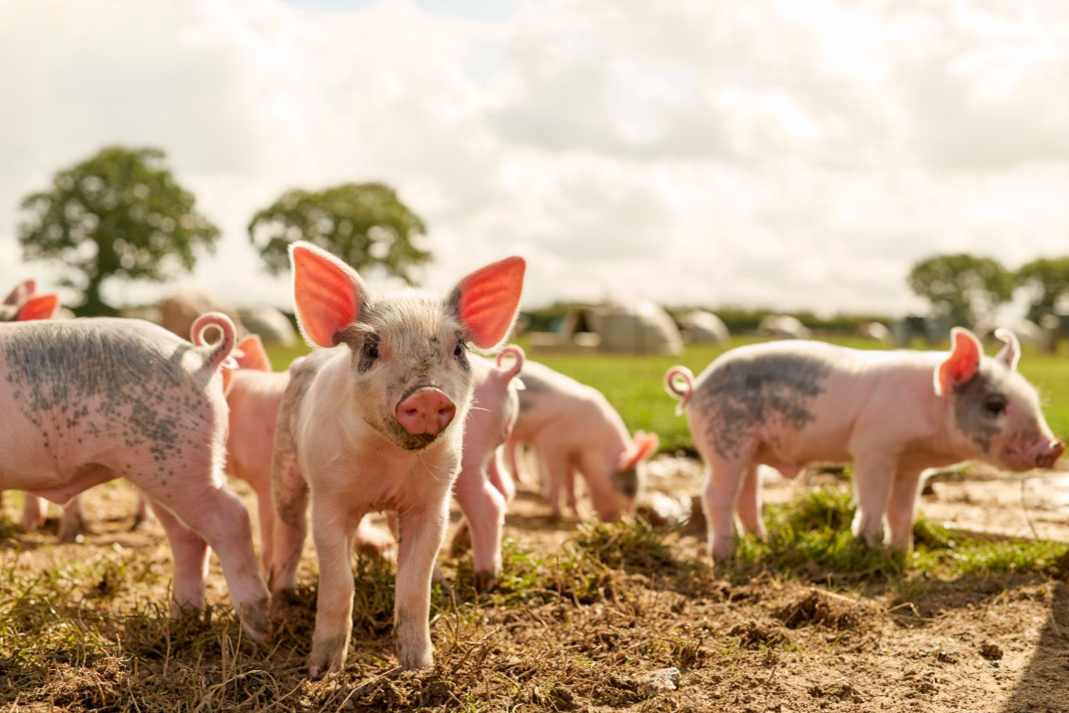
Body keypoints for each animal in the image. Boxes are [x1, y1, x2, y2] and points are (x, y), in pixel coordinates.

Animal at [0, 311, 271, 641]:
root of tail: (199, 356)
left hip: (179, 461)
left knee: (232, 518)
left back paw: (257, 630)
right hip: (163, 472)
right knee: (188, 537)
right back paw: (181, 622)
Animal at [269, 242, 525, 676]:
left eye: (458, 348)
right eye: (372, 348)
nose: (428, 394)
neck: (389, 463)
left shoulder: (431, 502)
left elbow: (413, 583)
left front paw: (420, 667)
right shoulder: (329, 497)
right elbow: (338, 580)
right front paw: (322, 671)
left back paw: (461, 580)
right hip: (286, 466)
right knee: (291, 527)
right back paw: (282, 597)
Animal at [504, 360, 659, 521]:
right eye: (629, 490)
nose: (623, 521)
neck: (592, 445)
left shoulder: (572, 455)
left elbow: (572, 481)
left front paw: (580, 514)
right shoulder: (550, 441)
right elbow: (556, 477)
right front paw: (557, 514)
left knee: (512, 447)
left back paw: (522, 480)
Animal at [665, 328, 1065, 559]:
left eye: (1032, 399)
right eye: (995, 406)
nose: (1054, 447)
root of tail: (696, 386)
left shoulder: (911, 467)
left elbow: (903, 511)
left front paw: (901, 553)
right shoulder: (874, 448)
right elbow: (873, 501)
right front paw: (867, 546)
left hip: (751, 450)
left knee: (747, 495)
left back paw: (761, 543)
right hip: (724, 441)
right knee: (716, 495)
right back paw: (725, 555)